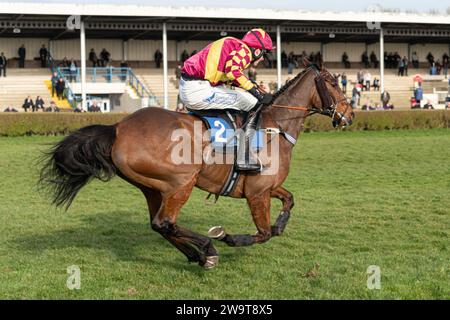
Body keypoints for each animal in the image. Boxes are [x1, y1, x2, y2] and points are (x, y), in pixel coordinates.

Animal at [39, 58, 356, 270]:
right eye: (333, 82)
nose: (349, 115)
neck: (274, 126)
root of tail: (117, 128)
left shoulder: (269, 186)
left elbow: (289, 201)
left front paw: (280, 225)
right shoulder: (256, 192)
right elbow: (263, 234)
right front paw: (229, 237)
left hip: (153, 188)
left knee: (160, 225)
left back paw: (199, 255)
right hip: (181, 182)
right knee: (165, 222)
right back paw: (208, 246)